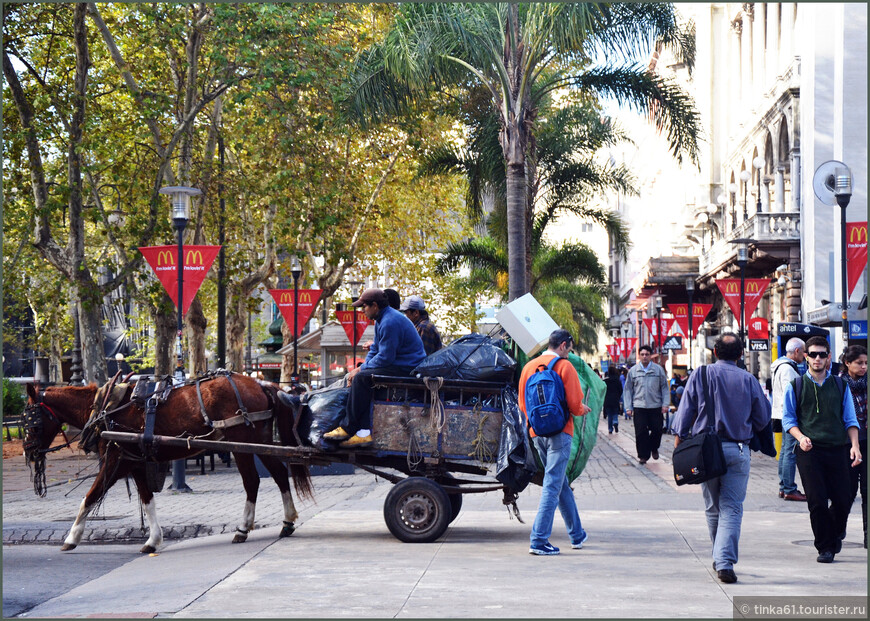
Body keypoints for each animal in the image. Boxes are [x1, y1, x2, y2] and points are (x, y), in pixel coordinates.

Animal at [23, 370, 314, 556]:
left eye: (31, 421)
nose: (28, 452)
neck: (106, 408)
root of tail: (260, 384)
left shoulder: (115, 460)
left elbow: (90, 497)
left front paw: (71, 537)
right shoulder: (135, 461)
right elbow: (147, 500)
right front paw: (153, 540)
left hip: (241, 444)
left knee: (253, 481)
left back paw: (244, 528)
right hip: (259, 441)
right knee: (279, 475)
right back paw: (287, 521)